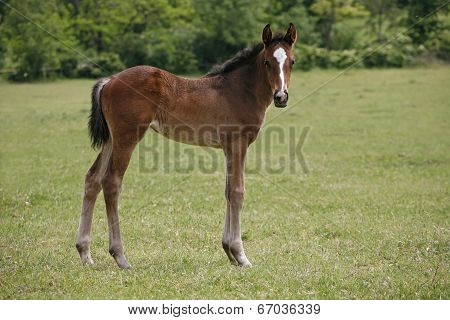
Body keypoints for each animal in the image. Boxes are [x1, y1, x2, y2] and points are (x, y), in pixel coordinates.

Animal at [75, 23, 298, 268]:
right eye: (267, 62)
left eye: (292, 62)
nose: (281, 97)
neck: (240, 90)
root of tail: (109, 81)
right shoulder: (238, 142)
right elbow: (238, 192)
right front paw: (241, 255)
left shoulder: (228, 147)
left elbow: (228, 192)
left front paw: (229, 251)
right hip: (127, 136)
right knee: (112, 182)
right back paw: (120, 256)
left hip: (111, 139)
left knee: (93, 178)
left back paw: (85, 253)